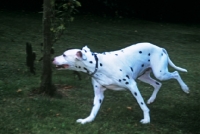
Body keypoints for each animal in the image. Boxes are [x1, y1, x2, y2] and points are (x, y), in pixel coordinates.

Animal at [52, 42, 189, 124]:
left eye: (64, 55)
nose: (53, 58)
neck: (98, 65)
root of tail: (160, 48)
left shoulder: (132, 86)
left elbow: (142, 105)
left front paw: (146, 119)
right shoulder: (99, 94)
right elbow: (94, 110)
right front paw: (87, 120)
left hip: (161, 73)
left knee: (176, 73)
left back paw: (185, 88)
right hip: (144, 77)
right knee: (158, 84)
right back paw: (152, 99)